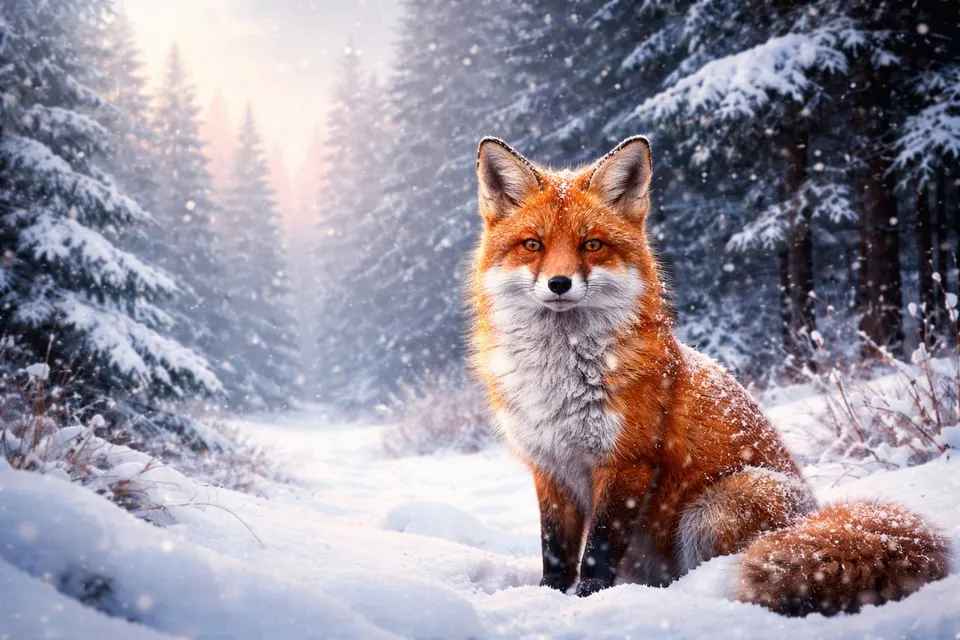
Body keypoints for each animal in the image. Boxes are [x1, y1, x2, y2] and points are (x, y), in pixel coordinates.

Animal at [467, 135, 951, 616]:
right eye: (533, 245)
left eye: (592, 245)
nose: (559, 283)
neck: (559, 380)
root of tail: (812, 513)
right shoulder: (549, 466)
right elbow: (555, 550)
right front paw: (545, 596)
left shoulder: (627, 462)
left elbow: (599, 549)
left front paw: (589, 599)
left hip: (723, 503)